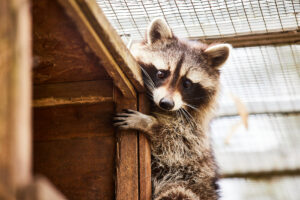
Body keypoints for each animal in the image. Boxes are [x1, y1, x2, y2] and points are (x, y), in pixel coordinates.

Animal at [113, 18, 231, 199]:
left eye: (187, 83)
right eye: (161, 73)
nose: (166, 103)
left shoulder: (194, 134)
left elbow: (175, 142)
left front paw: (149, 123)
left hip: (190, 184)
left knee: (178, 192)